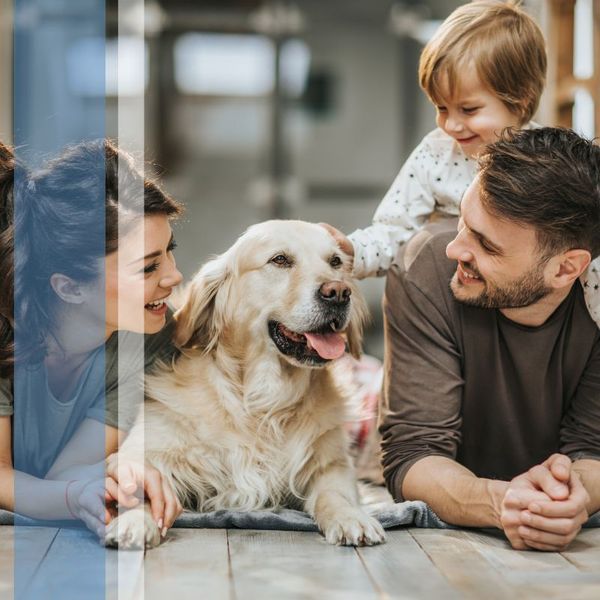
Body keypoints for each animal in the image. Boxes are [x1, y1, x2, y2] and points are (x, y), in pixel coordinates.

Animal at [105, 219, 386, 548]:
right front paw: (134, 520)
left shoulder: (332, 463)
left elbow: (336, 493)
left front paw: (351, 516)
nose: (339, 292)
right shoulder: (151, 446)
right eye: (280, 260)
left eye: (336, 262)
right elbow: (141, 482)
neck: (261, 400)